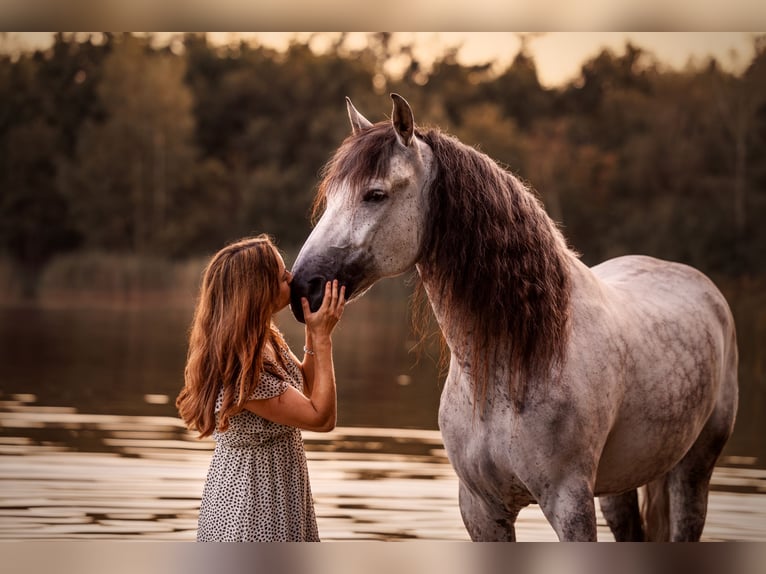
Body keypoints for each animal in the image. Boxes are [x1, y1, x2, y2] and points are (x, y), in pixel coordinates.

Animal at [289, 93, 739, 541]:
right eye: (331, 197)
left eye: (375, 195)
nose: (302, 288)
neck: (515, 365)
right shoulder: (481, 509)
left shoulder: (569, 504)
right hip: (620, 485)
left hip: (692, 472)